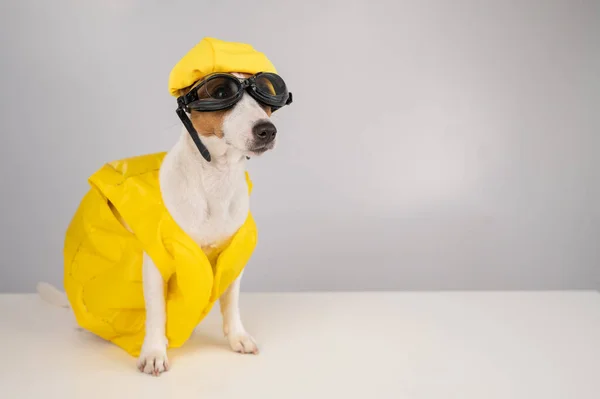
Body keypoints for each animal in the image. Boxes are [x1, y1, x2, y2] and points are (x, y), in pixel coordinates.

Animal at [35, 36, 292, 376]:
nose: (267, 130)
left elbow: (230, 301)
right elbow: (157, 312)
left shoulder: (232, 255)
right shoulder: (155, 261)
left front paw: (237, 336)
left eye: (266, 93)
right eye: (221, 93)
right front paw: (154, 352)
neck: (215, 179)